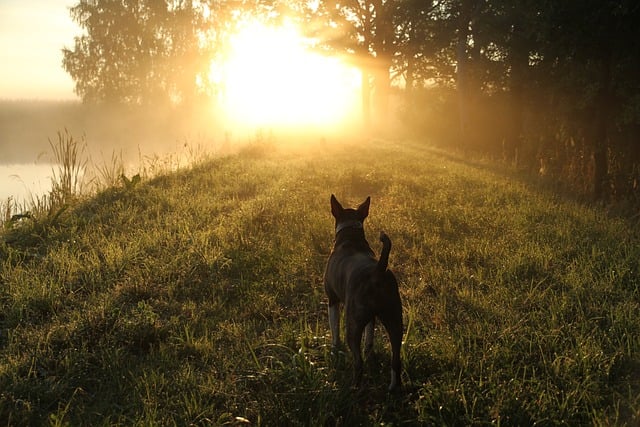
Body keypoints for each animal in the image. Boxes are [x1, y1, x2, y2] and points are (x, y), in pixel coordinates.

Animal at [324, 196, 400, 392]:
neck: (351, 236)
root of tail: (378, 270)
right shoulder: (371, 318)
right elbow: (370, 338)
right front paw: (369, 352)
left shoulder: (332, 300)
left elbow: (334, 329)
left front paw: (334, 349)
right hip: (395, 319)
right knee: (396, 359)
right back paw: (393, 388)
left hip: (353, 323)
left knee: (358, 363)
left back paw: (353, 388)